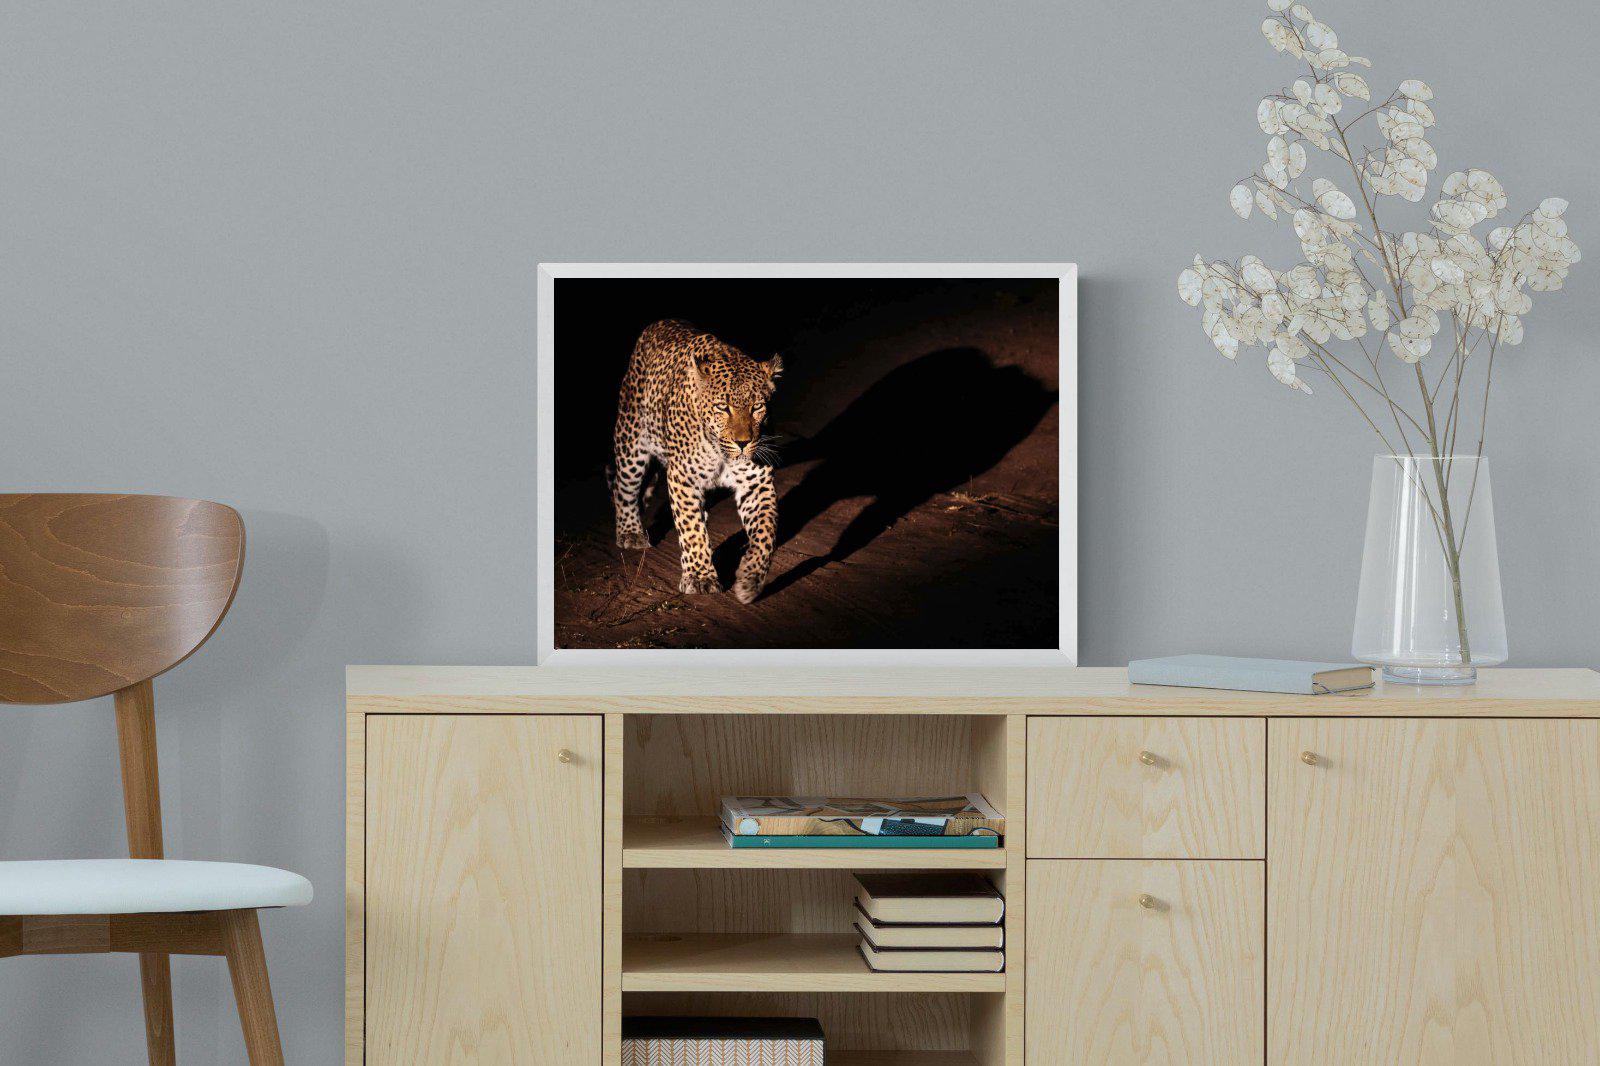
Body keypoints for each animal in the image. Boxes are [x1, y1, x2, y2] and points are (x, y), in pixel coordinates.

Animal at [610, 319, 782, 604]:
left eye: (757, 407)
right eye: (723, 407)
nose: (743, 443)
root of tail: (659, 323)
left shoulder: (756, 483)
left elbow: (765, 532)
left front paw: (750, 578)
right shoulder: (683, 478)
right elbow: (691, 529)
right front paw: (700, 577)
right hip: (631, 441)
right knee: (623, 489)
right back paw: (630, 533)